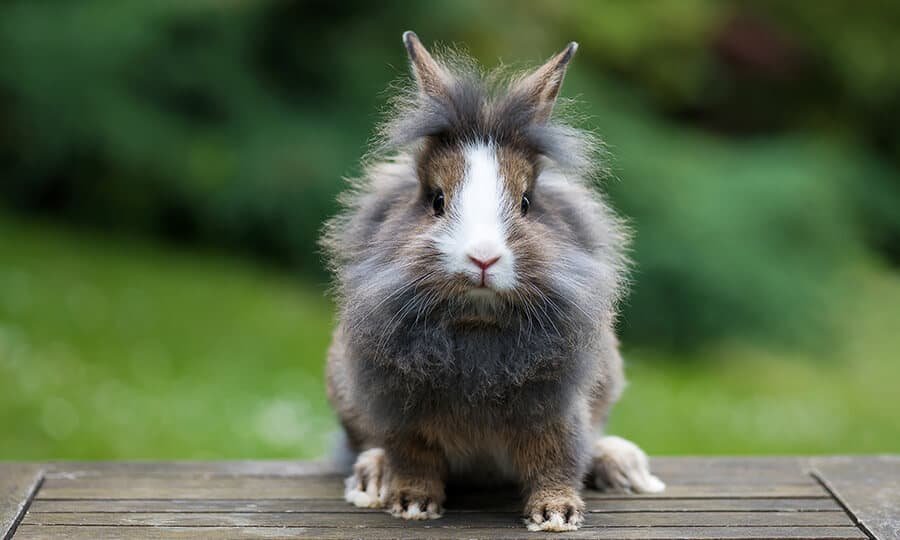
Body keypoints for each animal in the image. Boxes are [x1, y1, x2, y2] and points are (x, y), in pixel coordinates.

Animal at [320, 31, 664, 532]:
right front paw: (412, 504)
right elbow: (414, 457)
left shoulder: (555, 409)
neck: (477, 322)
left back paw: (623, 466)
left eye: (525, 202)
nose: (483, 257)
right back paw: (374, 476)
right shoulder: (402, 408)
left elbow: (556, 459)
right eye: (437, 200)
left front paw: (556, 514)